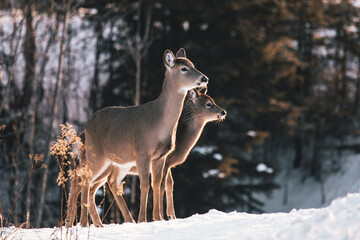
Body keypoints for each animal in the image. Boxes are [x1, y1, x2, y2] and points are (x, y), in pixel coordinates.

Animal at [66, 88, 226, 227]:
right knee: (81, 184)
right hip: (101, 164)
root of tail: (80, 137)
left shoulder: (166, 163)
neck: (181, 140)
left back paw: (91, 223)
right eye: (209, 104)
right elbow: (164, 184)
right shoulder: (166, 161)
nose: (223, 112)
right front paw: (166, 215)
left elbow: (169, 183)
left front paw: (170, 215)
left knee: (90, 186)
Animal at [78, 47, 208, 226]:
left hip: (117, 162)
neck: (159, 122)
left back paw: (102, 223)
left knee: (107, 182)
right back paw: (85, 223)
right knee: (85, 180)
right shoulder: (142, 152)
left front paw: (158, 217)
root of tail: (87, 125)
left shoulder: (161, 157)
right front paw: (143, 219)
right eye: (183, 69)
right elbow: (145, 185)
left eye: (193, 64)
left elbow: (157, 184)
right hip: (96, 154)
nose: (204, 78)